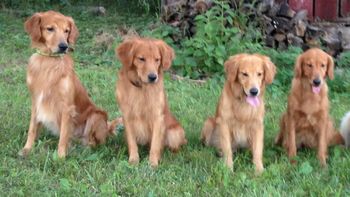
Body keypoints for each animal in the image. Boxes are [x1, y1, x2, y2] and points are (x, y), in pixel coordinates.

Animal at [19, 11, 120, 159]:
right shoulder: (36, 101)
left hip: (97, 115)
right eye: (50, 29)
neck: (49, 62)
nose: (64, 46)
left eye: (66, 31)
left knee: (92, 142)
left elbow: (63, 135)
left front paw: (60, 157)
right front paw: (27, 149)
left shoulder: (66, 107)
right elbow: (32, 128)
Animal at [115, 37, 187, 166]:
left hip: (174, 134)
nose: (153, 77)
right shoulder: (127, 117)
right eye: (141, 59)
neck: (141, 88)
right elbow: (132, 142)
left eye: (157, 59)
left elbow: (155, 144)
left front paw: (153, 163)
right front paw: (134, 159)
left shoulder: (157, 118)